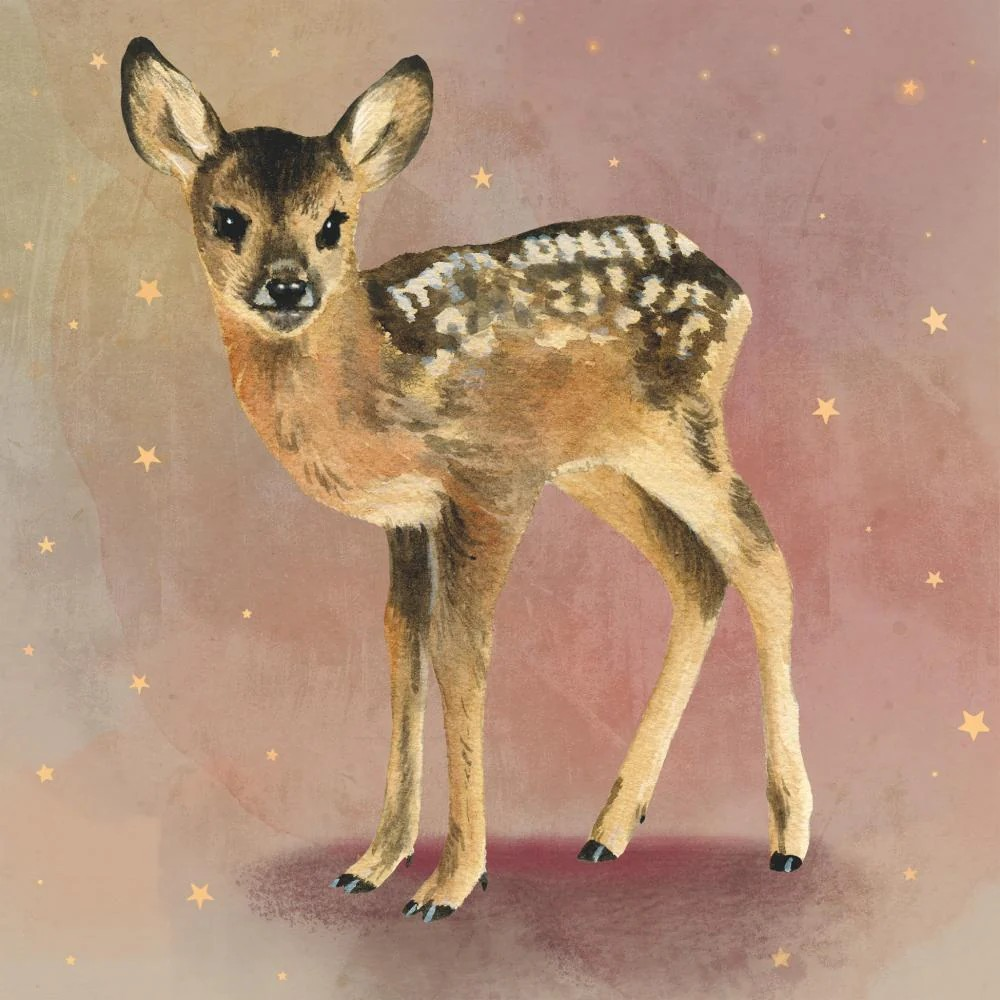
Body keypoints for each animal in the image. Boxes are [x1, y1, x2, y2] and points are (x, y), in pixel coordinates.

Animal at [120, 37, 812, 923]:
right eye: (228, 218)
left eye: (333, 222)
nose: (288, 286)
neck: (371, 378)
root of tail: (734, 288)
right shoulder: (410, 515)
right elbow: (402, 643)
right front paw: (374, 862)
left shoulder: (491, 483)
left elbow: (462, 651)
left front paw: (451, 882)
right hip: (598, 464)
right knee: (697, 571)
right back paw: (608, 830)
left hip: (680, 428)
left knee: (762, 559)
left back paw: (788, 836)